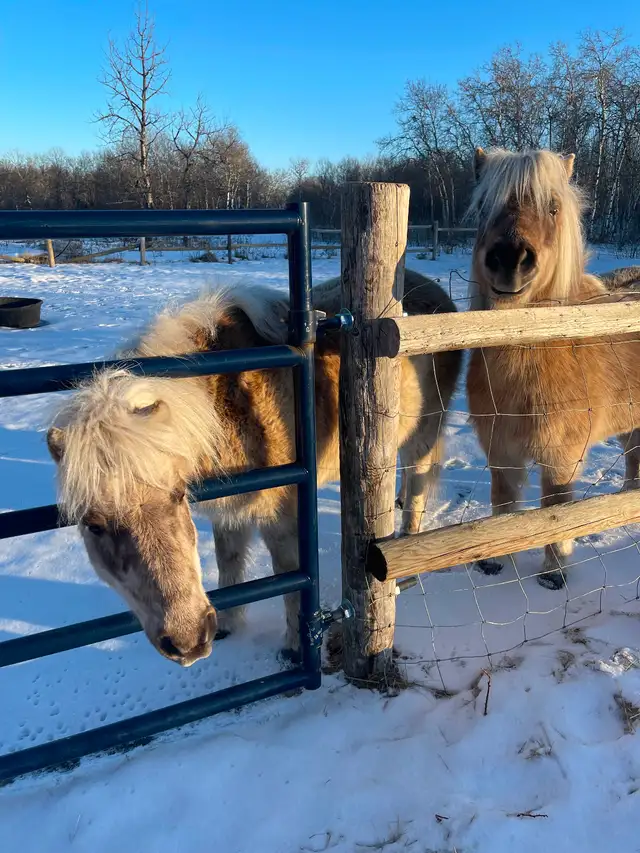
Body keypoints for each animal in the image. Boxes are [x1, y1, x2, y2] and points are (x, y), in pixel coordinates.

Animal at [47, 270, 462, 666]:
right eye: (93, 524)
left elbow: (289, 576)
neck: (226, 403)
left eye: (178, 494)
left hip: (423, 432)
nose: (188, 640)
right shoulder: (229, 510)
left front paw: (293, 648)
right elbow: (228, 562)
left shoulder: (281, 516)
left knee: (418, 487)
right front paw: (229, 627)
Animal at [466, 146, 640, 590]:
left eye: (554, 207)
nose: (509, 260)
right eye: (483, 207)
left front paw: (554, 571)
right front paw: (496, 560)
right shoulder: (500, 451)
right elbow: (503, 502)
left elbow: (556, 509)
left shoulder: (562, 458)